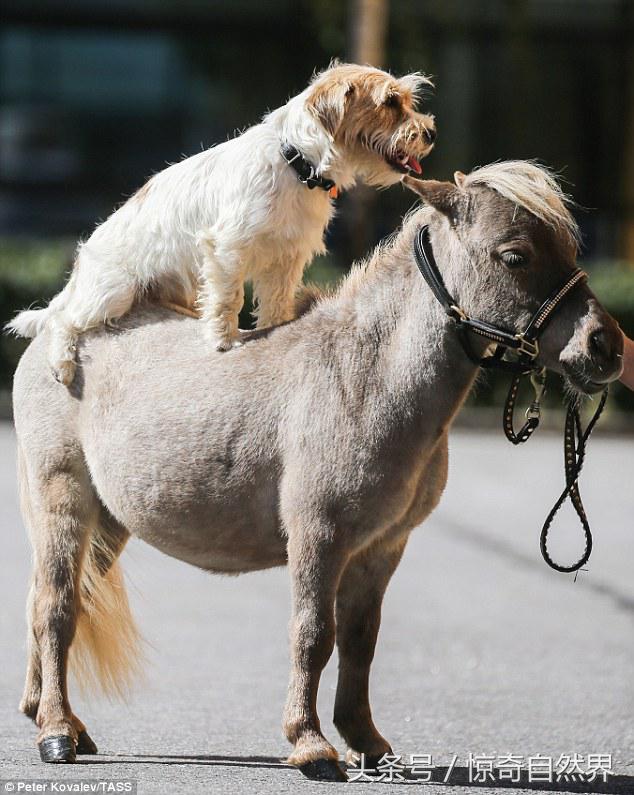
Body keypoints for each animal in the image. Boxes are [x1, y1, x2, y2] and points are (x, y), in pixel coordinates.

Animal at [6, 62, 434, 386]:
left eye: (407, 101)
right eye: (390, 102)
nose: (430, 132)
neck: (296, 164)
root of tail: (81, 267)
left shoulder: (286, 260)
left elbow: (276, 305)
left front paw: (274, 334)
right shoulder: (228, 249)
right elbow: (229, 299)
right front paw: (223, 342)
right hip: (112, 293)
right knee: (61, 319)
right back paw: (62, 364)